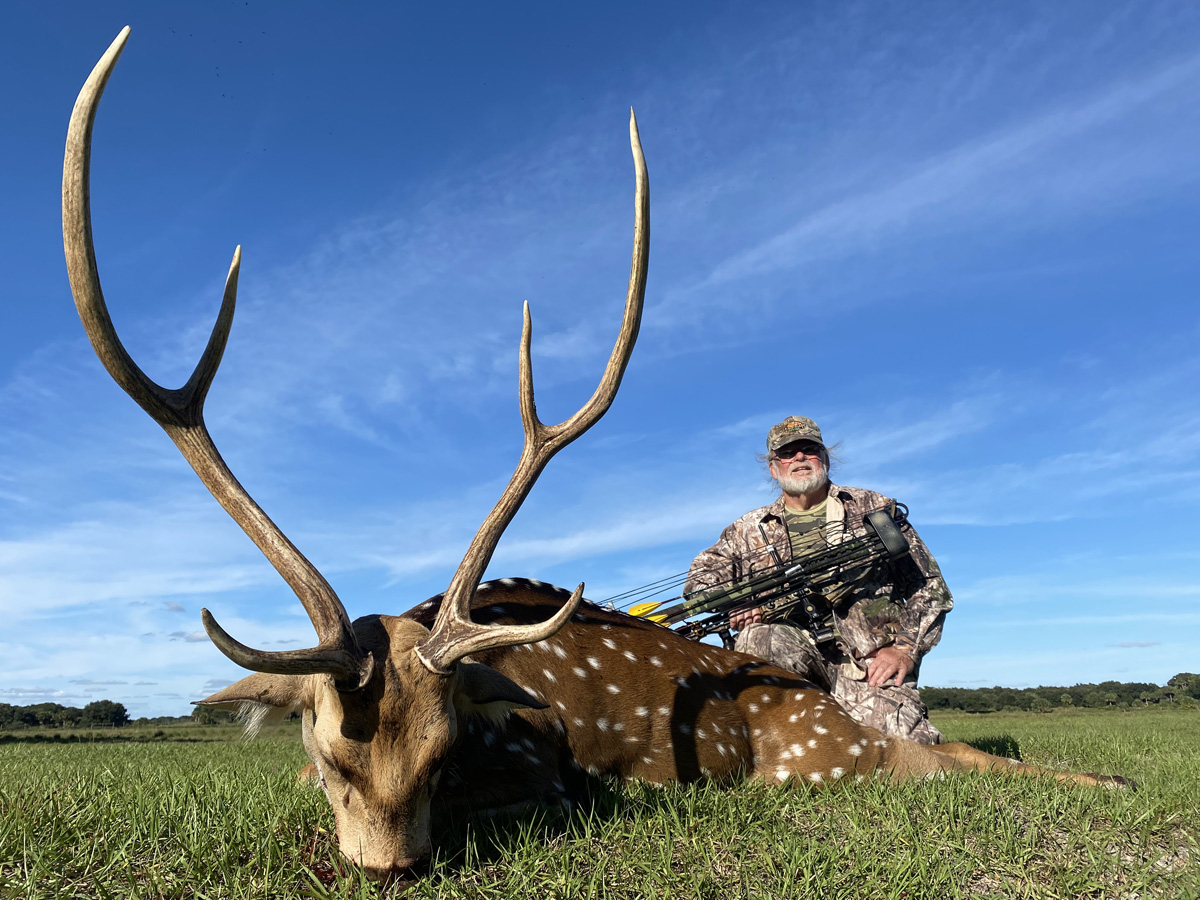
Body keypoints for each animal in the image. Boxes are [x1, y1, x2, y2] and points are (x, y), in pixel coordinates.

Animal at [65, 27, 1126, 885]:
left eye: (445, 755)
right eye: (329, 757)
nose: (390, 869)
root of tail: (843, 722)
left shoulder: (541, 763)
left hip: (816, 761)